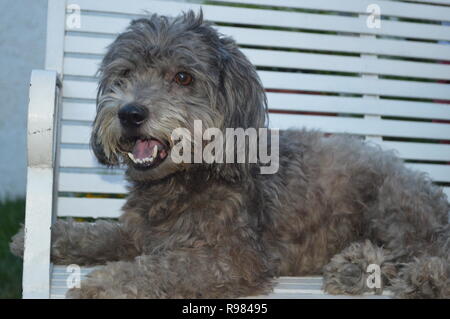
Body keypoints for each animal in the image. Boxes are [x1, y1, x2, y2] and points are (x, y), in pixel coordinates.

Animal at [11, 10, 450, 300]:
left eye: (182, 77)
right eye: (124, 74)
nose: (130, 113)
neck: (189, 177)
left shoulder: (233, 259)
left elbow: (160, 269)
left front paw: (101, 285)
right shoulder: (141, 234)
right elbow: (103, 233)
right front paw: (48, 235)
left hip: (390, 201)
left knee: (424, 251)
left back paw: (385, 271)